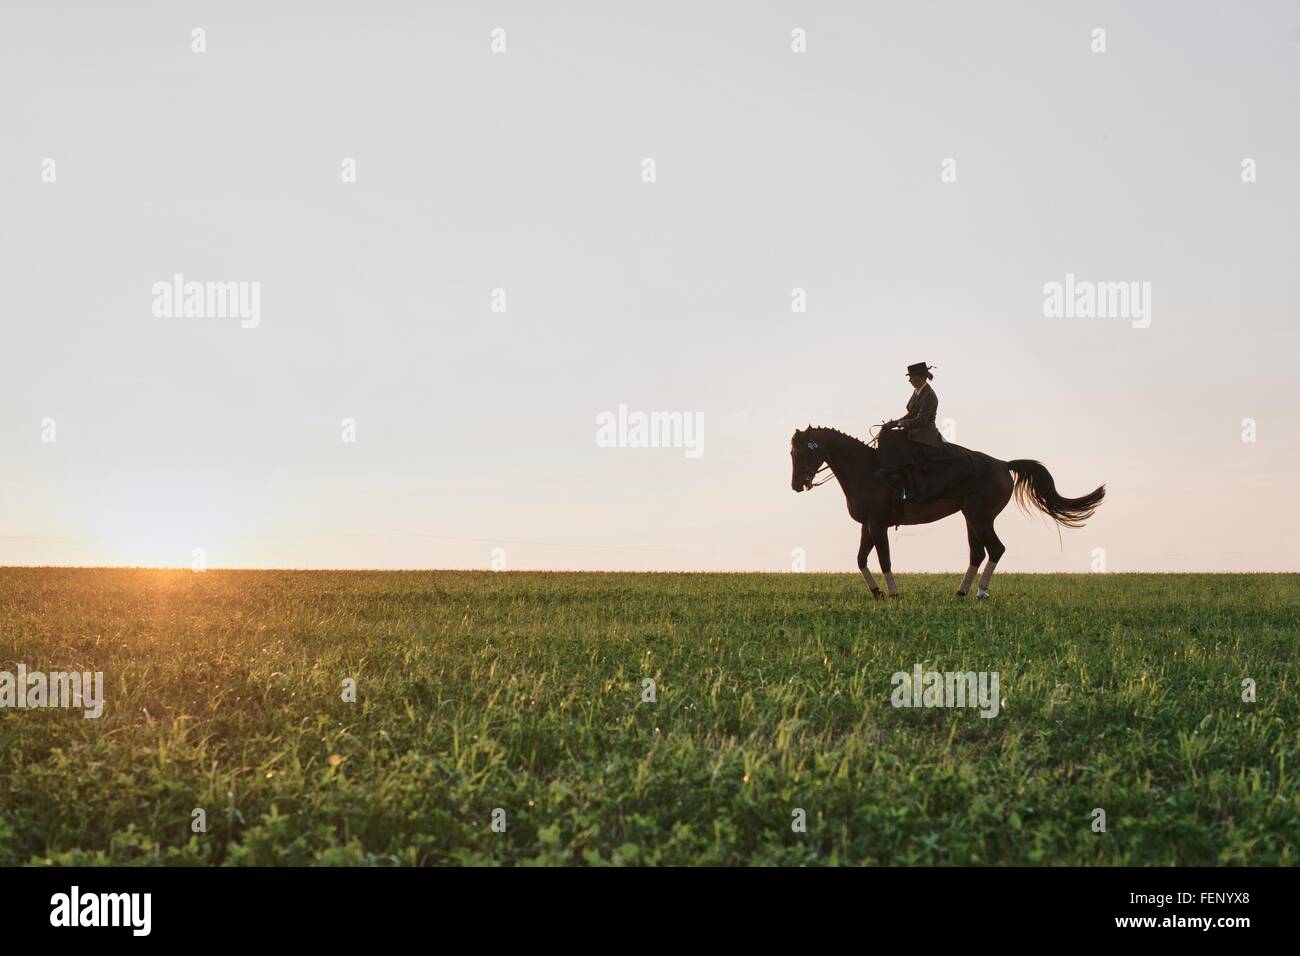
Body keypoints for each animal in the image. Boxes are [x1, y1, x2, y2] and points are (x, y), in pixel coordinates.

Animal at [790, 425, 1105, 600]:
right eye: (792, 453)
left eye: (803, 451)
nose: (796, 485)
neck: (865, 470)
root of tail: (1003, 464)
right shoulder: (867, 525)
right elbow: (860, 559)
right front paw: (877, 592)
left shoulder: (878, 524)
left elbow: (884, 559)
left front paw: (893, 593)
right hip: (971, 519)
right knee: (978, 554)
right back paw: (962, 592)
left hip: (980, 518)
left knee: (996, 549)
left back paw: (980, 592)